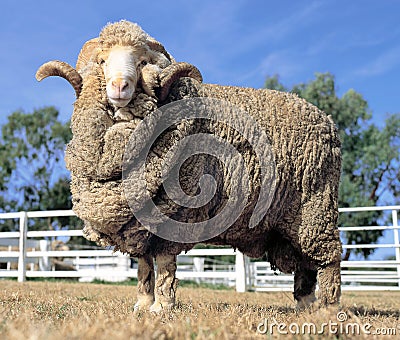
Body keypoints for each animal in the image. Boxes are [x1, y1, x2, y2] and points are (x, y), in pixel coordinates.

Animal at [36, 19, 340, 312]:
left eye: (143, 61)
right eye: (102, 60)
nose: (120, 86)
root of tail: (326, 120)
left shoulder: (172, 219)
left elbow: (164, 265)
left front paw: (162, 307)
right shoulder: (140, 226)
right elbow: (144, 268)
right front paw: (142, 305)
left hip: (317, 208)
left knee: (330, 258)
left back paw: (328, 307)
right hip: (294, 221)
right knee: (306, 264)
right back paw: (305, 305)